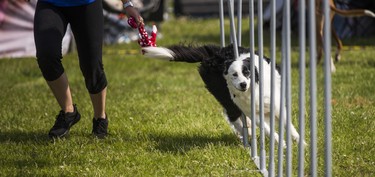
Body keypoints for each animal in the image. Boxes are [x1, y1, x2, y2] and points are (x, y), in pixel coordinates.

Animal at [142, 45, 306, 146]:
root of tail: (212, 55)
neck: (253, 88)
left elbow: (289, 126)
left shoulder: (276, 106)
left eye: (247, 72)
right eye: (234, 74)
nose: (243, 84)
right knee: (233, 116)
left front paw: (301, 143)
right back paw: (246, 133)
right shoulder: (251, 110)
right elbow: (267, 129)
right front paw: (282, 143)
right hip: (224, 95)